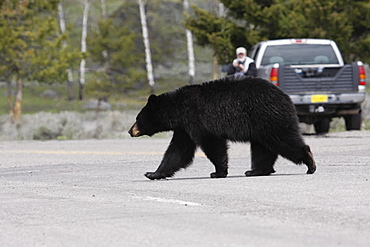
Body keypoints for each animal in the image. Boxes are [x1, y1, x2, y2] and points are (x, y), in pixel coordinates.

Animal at [128, 75, 316, 179]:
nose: (130, 130)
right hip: (260, 125)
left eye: (137, 118)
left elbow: (212, 144)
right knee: (262, 148)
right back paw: (256, 170)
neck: (178, 109)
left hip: (269, 118)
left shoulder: (198, 120)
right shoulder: (184, 128)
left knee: (284, 141)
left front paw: (218, 172)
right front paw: (153, 173)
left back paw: (310, 163)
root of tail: (286, 96)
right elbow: (178, 151)